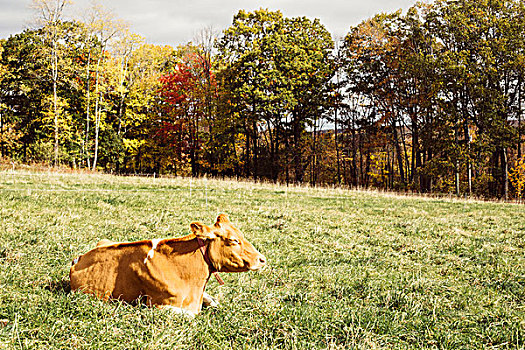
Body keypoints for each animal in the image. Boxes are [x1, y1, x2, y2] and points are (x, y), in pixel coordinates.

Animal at [68, 213, 266, 318]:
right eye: (233, 240)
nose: (262, 259)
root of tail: (78, 259)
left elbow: (214, 302)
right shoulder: (156, 305)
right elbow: (193, 315)